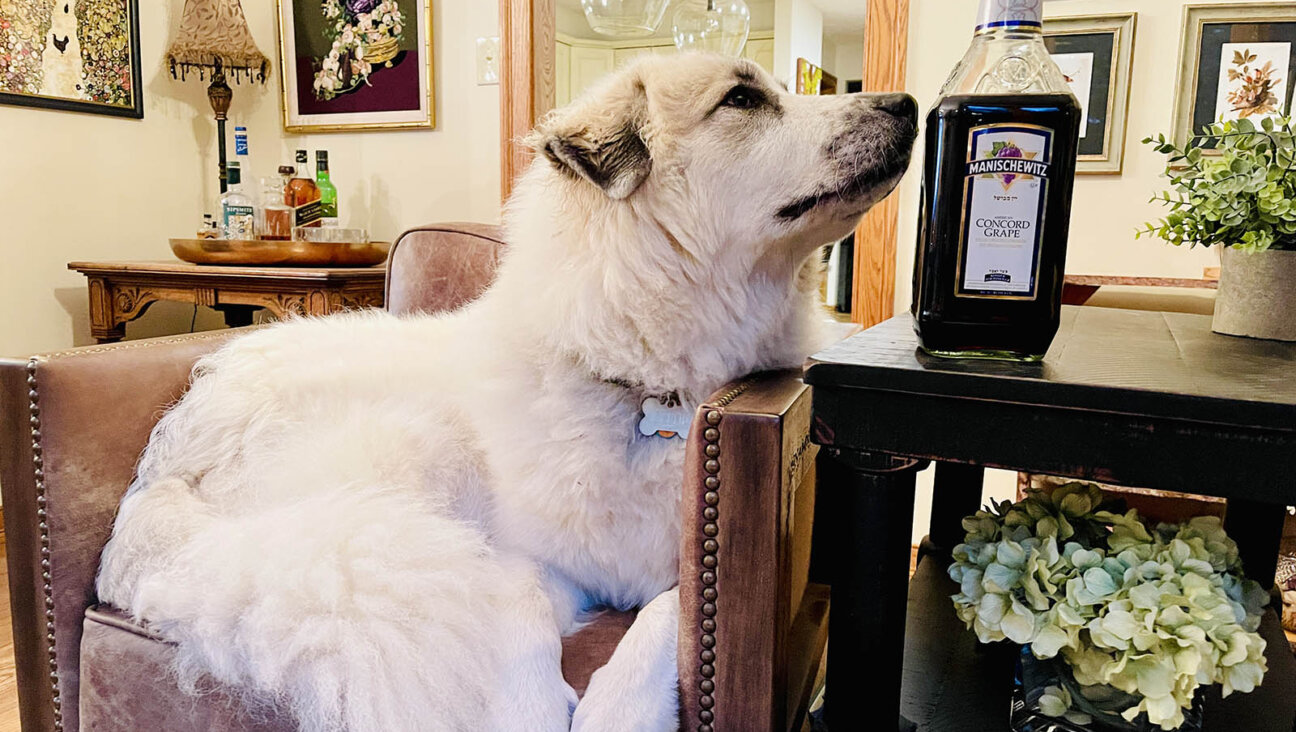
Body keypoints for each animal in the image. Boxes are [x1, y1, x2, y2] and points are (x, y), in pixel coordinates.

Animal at [95, 54, 917, 725]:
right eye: (742, 98)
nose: (906, 104)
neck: (651, 390)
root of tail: (170, 463)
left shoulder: (689, 578)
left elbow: (663, 620)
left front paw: (616, 713)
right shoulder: (532, 560)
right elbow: (516, 616)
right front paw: (528, 709)